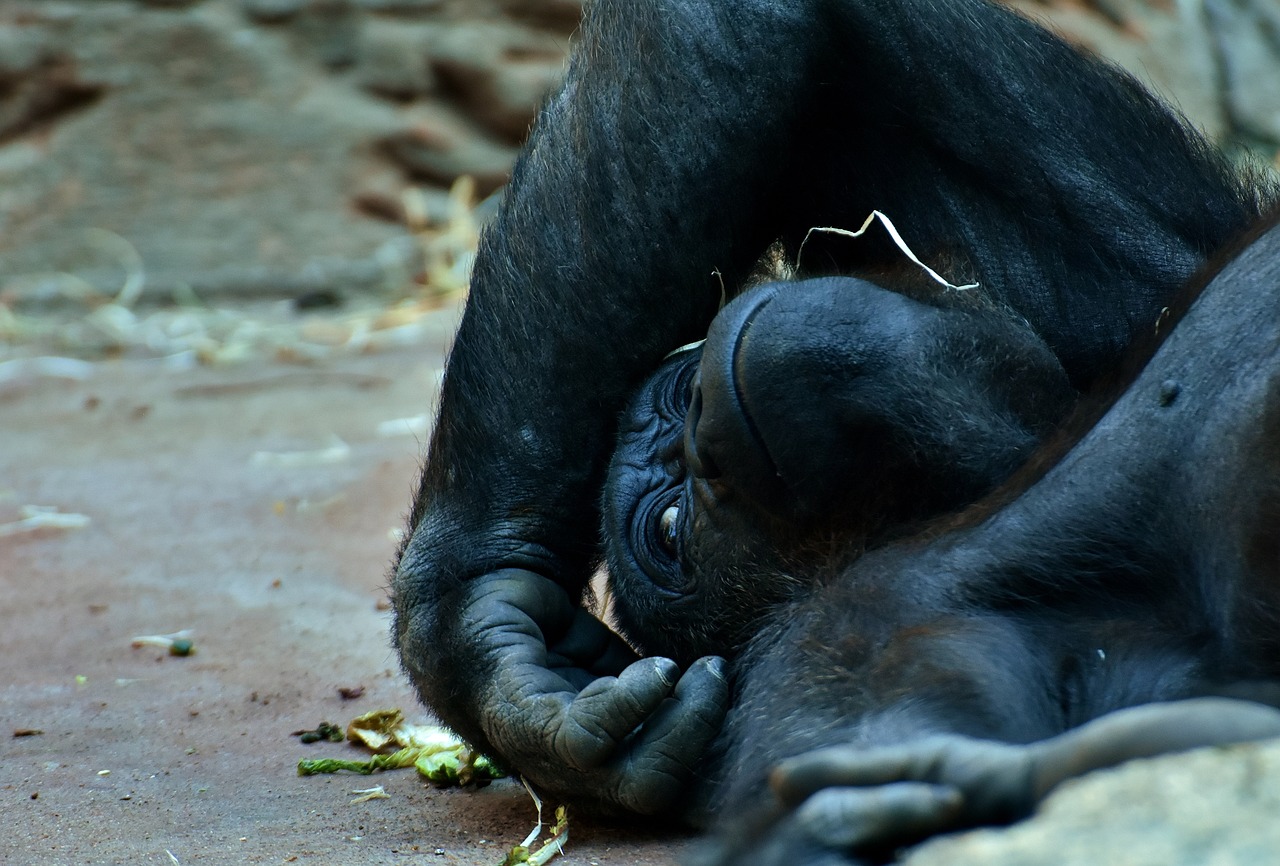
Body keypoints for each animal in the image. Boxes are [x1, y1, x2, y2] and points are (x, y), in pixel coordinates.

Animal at [389, 0, 1280, 859]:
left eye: (677, 400)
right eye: (671, 530)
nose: (699, 428)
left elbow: (766, 30)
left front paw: (486, 602)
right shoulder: (850, 646)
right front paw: (488, 644)